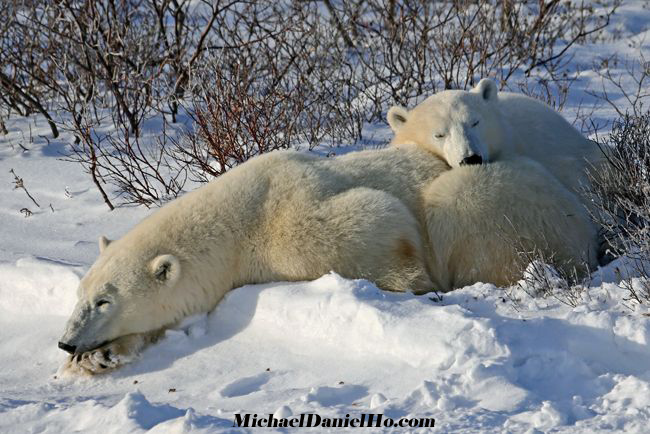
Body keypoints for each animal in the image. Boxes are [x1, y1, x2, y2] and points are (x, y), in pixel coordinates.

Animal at [58, 144, 596, 374]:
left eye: (104, 301)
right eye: (81, 294)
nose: (66, 341)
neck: (234, 222)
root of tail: (588, 230)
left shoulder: (286, 218)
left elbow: (378, 217)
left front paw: (411, 278)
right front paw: (100, 357)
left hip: (505, 202)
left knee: (451, 202)